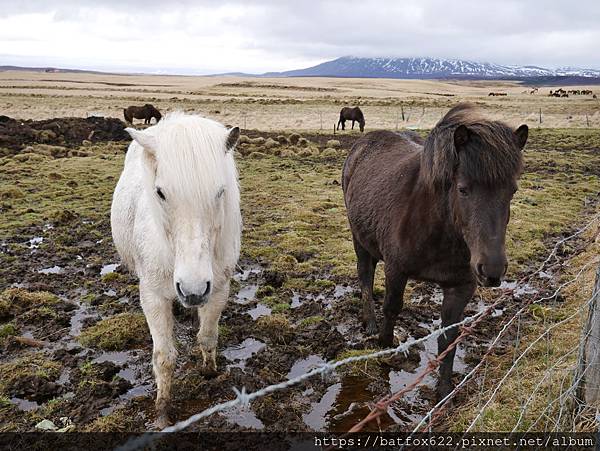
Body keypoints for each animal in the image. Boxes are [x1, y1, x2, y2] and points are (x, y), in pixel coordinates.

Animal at [111, 112, 243, 428]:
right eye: (160, 193)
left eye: (220, 191)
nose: (192, 290)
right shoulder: (153, 296)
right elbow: (164, 357)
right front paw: (162, 410)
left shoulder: (218, 289)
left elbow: (208, 337)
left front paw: (210, 373)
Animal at [344, 103, 528, 400]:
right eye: (463, 189)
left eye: (512, 190)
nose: (492, 270)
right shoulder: (396, 269)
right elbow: (391, 308)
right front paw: (384, 346)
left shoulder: (461, 287)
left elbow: (449, 335)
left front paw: (444, 390)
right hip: (359, 239)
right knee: (365, 276)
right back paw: (369, 321)